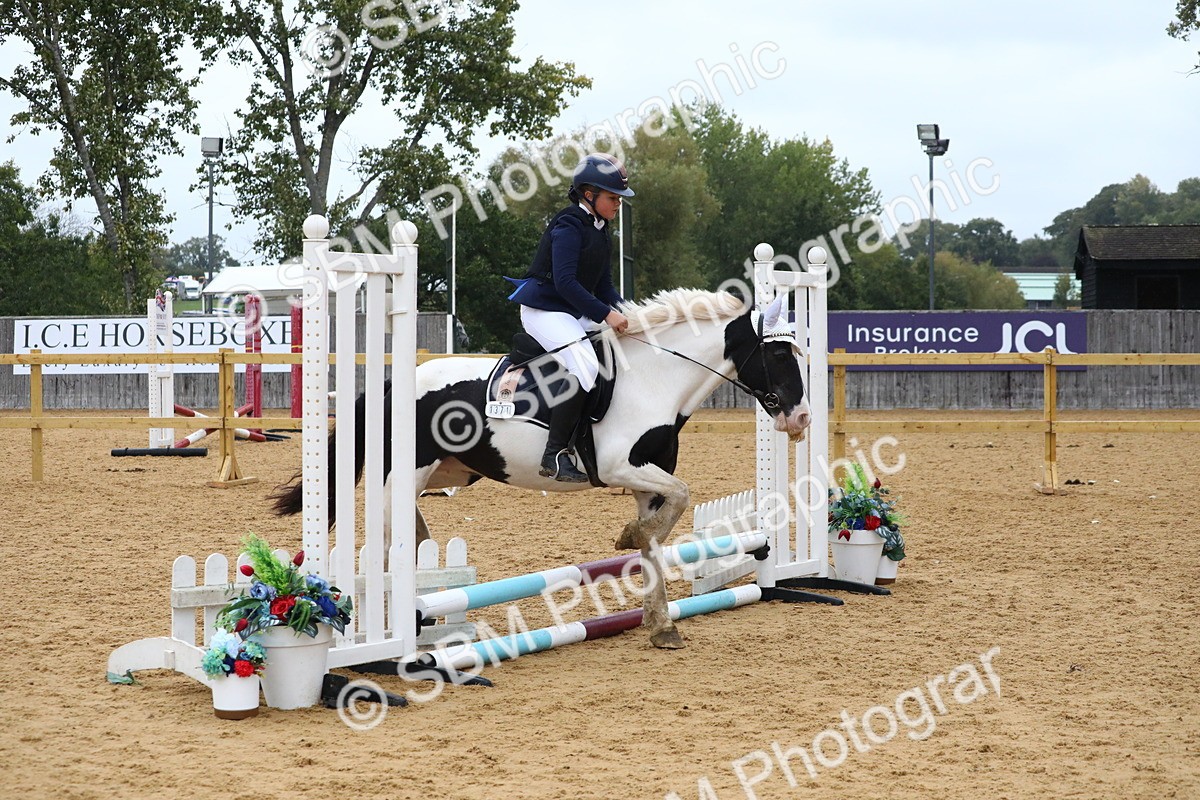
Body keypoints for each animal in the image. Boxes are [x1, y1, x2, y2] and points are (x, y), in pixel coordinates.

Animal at [271, 288, 811, 649]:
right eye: (778, 353)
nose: (802, 419)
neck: (656, 379)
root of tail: (388, 385)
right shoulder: (620, 468)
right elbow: (678, 500)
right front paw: (628, 538)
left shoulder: (647, 480)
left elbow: (661, 532)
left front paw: (660, 623)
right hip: (407, 472)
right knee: (387, 544)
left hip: (445, 473)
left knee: (414, 536)